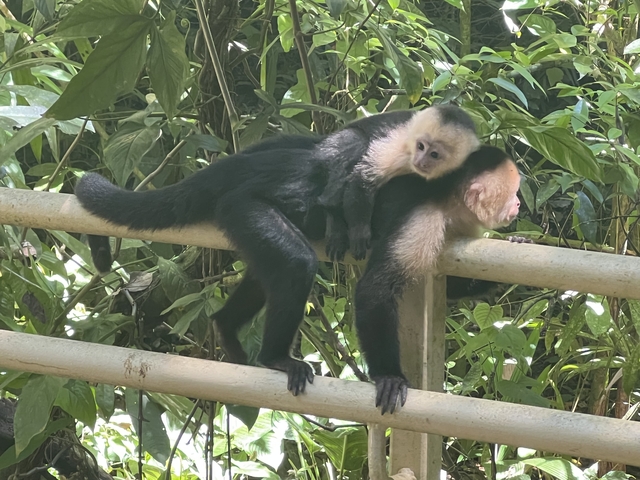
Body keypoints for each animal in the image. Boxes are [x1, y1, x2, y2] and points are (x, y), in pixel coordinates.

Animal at [356, 145, 521, 413]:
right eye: (512, 193)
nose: (518, 202)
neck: (452, 202)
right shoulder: (425, 221)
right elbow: (375, 288)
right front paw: (388, 375)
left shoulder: (463, 225)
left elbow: (452, 286)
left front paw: (517, 241)